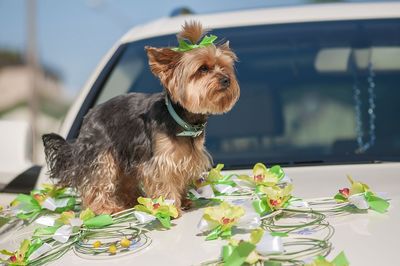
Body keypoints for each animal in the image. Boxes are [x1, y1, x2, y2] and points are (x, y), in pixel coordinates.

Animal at [42, 21, 239, 215]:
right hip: (101, 153)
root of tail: (87, 117)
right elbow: (164, 180)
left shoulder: (186, 157)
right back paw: (105, 208)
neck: (182, 118)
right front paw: (170, 208)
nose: (226, 79)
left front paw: (183, 201)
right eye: (203, 68)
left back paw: (132, 201)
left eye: (224, 67)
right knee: (97, 181)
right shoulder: (161, 160)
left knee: (125, 182)